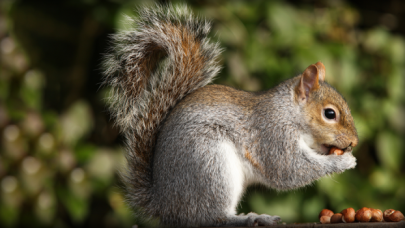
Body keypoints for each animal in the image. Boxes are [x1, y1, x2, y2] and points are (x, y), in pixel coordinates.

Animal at [102, 4, 358, 228]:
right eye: (330, 114)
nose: (354, 142)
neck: (288, 112)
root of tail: (165, 206)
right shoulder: (273, 135)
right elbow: (289, 169)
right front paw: (343, 161)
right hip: (210, 164)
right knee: (211, 218)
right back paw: (250, 218)